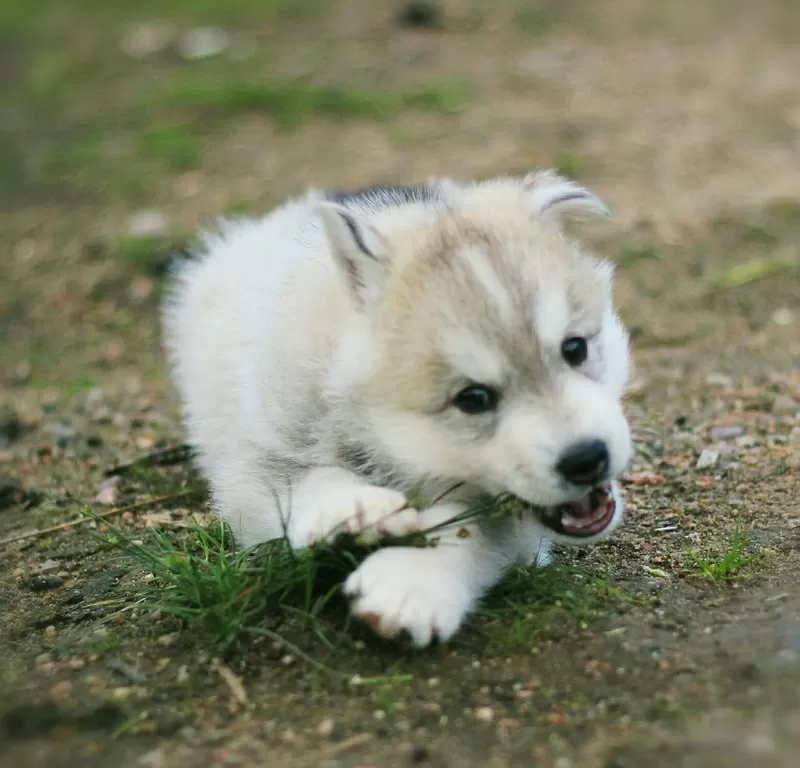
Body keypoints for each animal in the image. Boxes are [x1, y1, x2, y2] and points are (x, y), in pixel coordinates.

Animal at [166, 171, 636, 644]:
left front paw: (412, 581)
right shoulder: (258, 458)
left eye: (575, 349)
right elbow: (306, 477)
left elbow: (469, 526)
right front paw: (351, 510)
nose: (587, 459)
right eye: (473, 398)